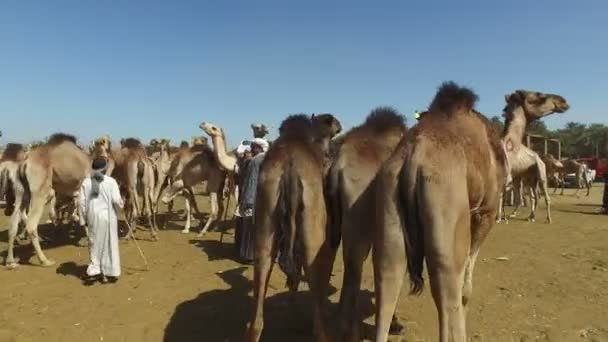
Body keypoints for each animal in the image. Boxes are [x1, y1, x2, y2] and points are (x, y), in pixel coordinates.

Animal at [5, 134, 91, 268]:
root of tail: (25, 162)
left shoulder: (73, 193)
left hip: (22, 191)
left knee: (13, 222)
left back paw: (11, 262)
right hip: (40, 191)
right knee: (31, 224)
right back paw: (44, 260)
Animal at [372, 83, 568, 342]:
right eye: (539, 96)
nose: (562, 101)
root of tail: (413, 159)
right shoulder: (485, 212)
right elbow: (467, 289)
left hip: (389, 203)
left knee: (388, 277)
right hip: (448, 211)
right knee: (448, 288)